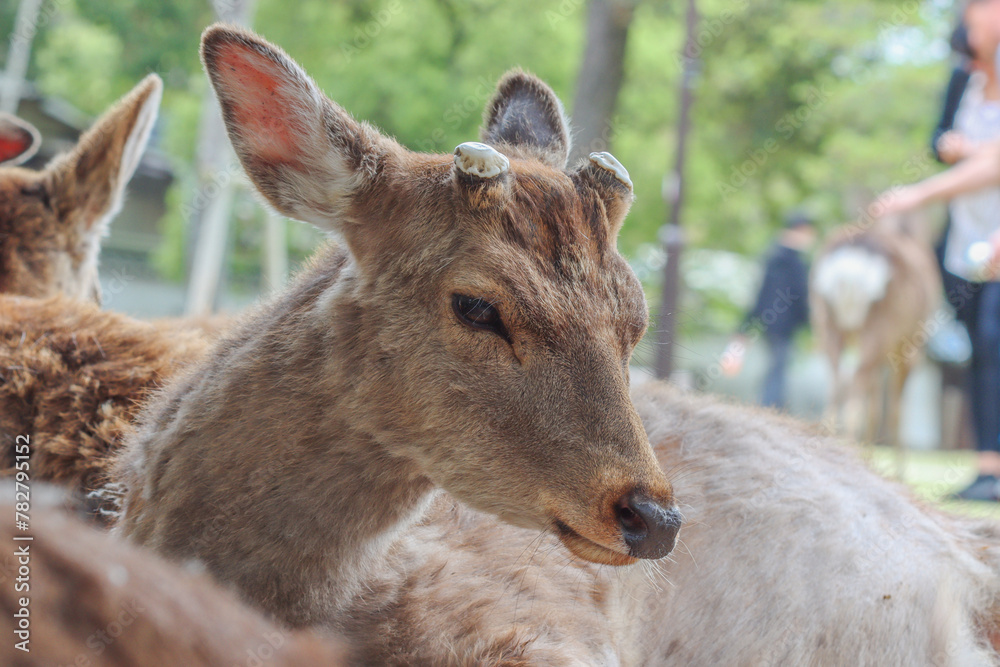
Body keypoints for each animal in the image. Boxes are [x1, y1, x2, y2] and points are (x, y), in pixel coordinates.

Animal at [810, 215, 941, 472]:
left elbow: (875, 407)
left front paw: (871, 458)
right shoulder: (909, 346)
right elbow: (894, 409)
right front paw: (900, 472)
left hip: (826, 321)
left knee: (837, 384)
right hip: (879, 326)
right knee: (856, 386)